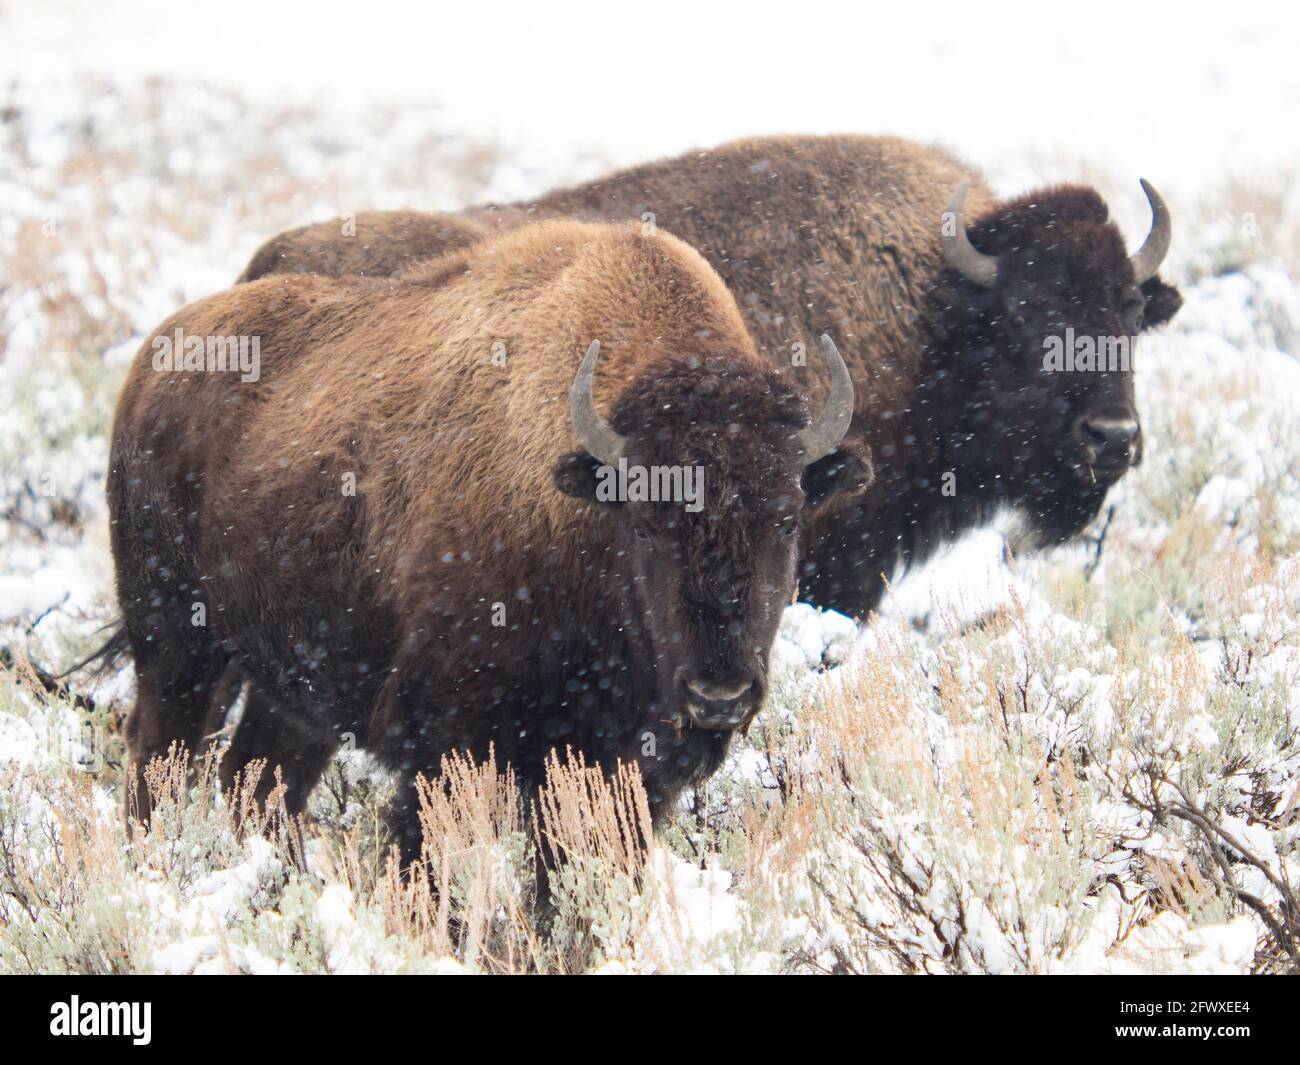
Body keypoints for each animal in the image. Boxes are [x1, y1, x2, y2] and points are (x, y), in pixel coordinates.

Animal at [109, 221, 863, 863]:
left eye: (787, 518)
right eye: (646, 523)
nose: (719, 692)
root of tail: (153, 360)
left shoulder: (623, 773)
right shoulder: (448, 745)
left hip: (288, 688)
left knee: (257, 781)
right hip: (176, 644)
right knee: (157, 757)